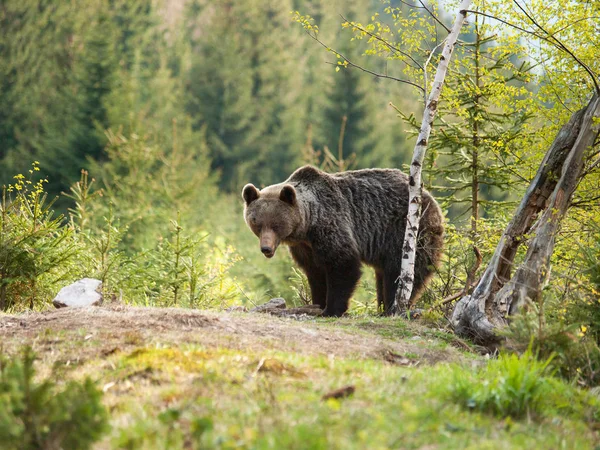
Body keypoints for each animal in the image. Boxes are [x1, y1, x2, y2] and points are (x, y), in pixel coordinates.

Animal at [241, 165, 442, 316]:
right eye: (256, 223)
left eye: (276, 224)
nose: (266, 248)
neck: (307, 225)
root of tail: (432, 200)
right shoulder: (305, 247)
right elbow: (315, 273)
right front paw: (318, 303)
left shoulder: (331, 226)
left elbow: (342, 264)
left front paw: (331, 309)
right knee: (383, 274)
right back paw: (383, 308)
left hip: (409, 234)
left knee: (403, 273)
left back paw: (392, 308)